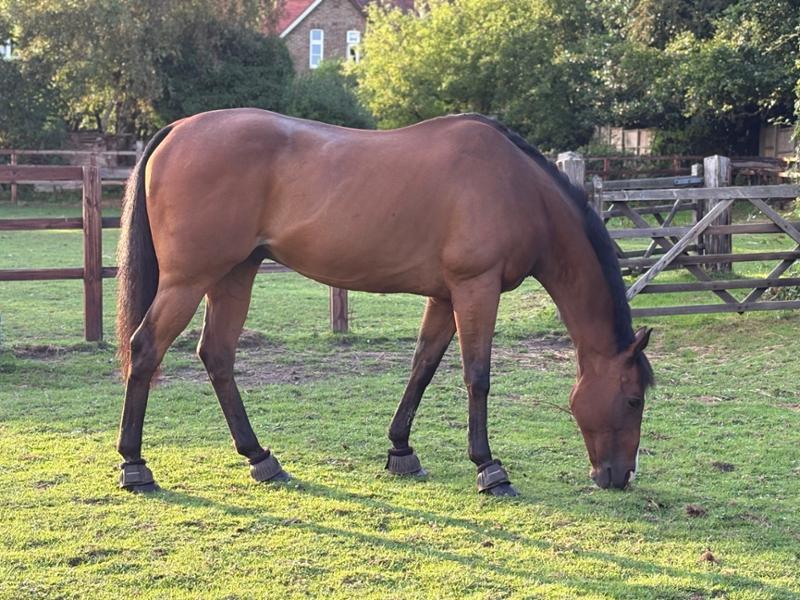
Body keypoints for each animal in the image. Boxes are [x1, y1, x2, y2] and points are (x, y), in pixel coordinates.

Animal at [115, 108, 654, 496]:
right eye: (633, 399)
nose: (620, 475)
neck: (518, 188)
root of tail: (179, 129)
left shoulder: (445, 295)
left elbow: (423, 366)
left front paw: (401, 450)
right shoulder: (475, 288)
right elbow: (477, 376)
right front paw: (489, 468)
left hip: (234, 274)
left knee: (217, 355)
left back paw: (261, 458)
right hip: (189, 280)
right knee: (146, 349)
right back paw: (135, 465)